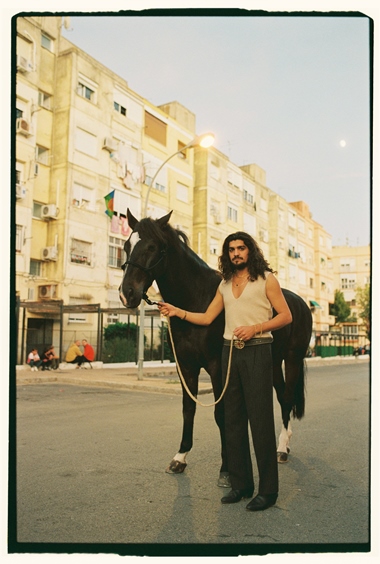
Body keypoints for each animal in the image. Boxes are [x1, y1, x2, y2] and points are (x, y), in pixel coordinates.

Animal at [121, 210, 312, 484]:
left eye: (152, 247)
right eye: (127, 246)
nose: (127, 293)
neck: (197, 299)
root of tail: (300, 303)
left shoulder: (217, 367)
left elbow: (221, 413)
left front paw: (226, 469)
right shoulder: (186, 367)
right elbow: (188, 409)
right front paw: (180, 458)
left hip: (293, 359)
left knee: (286, 397)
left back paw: (283, 448)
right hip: (274, 363)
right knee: (282, 397)